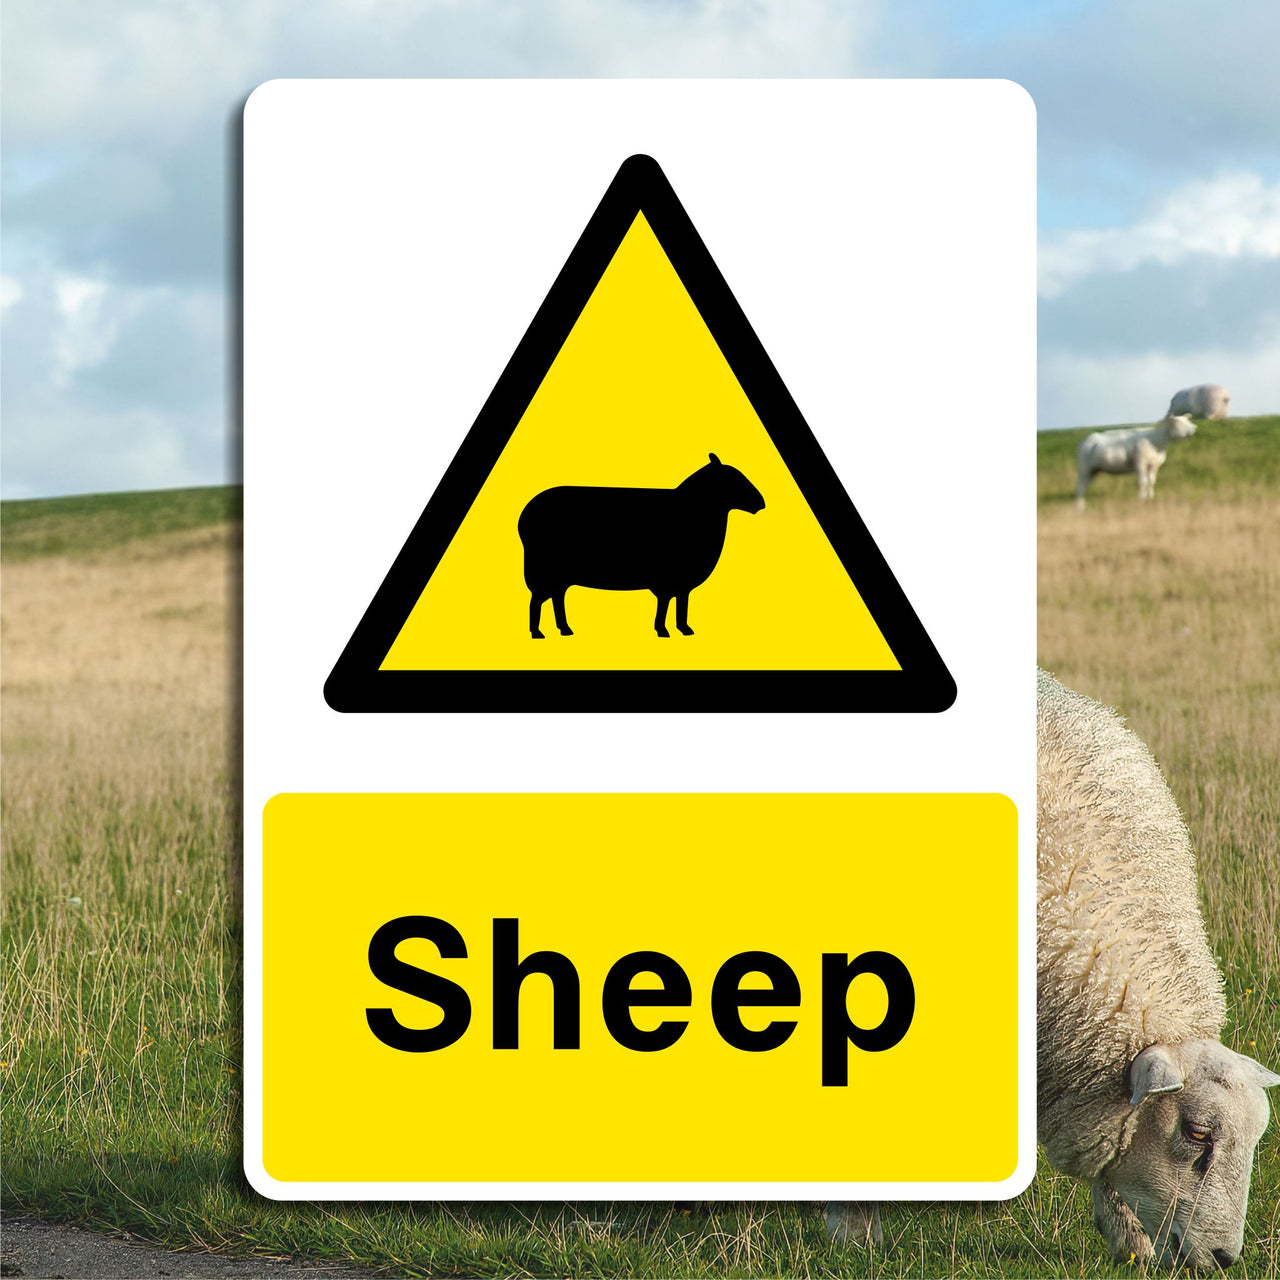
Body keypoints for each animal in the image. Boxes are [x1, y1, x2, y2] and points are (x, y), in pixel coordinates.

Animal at [517, 453, 764, 639]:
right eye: (734, 479)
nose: (761, 503)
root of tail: (524, 517)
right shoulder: (668, 578)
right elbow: (666, 603)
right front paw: (663, 630)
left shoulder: (681, 582)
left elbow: (680, 604)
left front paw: (683, 629)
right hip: (543, 571)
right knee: (537, 599)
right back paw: (537, 632)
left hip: (560, 576)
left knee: (556, 597)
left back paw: (564, 629)